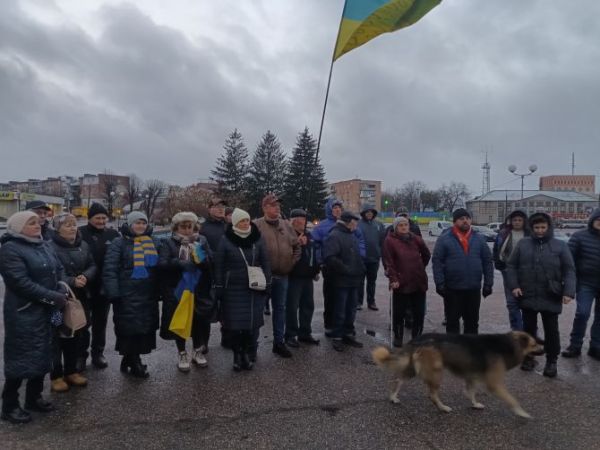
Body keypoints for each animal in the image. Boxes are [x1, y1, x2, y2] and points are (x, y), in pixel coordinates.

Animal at [372, 330, 540, 418]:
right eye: (534, 344)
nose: (543, 347)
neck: (507, 344)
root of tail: (418, 339)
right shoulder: (494, 384)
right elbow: (512, 399)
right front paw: (522, 412)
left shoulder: (471, 375)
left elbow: (470, 392)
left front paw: (475, 404)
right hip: (436, 371)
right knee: (432, 394)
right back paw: (443, 408)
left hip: (414, 368)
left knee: (398, 379)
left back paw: (393, 397)